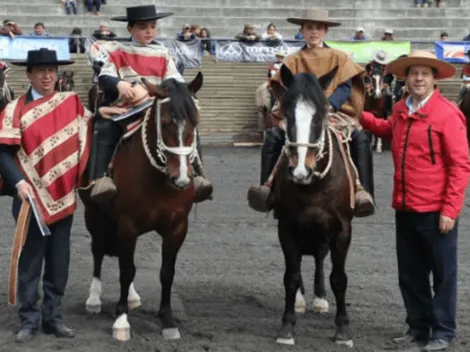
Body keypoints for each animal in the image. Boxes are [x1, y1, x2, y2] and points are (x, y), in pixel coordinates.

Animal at [80, 72, 204, 340]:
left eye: (195, 122)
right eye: (166, 123)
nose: (181, 178)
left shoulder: (177, 227)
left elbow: (166, 272)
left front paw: (167, 321)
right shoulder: (127, 224)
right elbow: (126, 270)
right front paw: (121, 320)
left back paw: (132, 296)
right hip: (93, 213)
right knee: (98, 249)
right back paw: (94, 298)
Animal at [270, 64, 354, 348]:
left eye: (320, 115)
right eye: (287, 114)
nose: (300, 171)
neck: (314, 186)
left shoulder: (342, 230)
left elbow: (338, 278)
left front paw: (342, 329)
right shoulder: (286, 228)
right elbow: (291, 276)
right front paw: (286, 326)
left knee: (319, 257)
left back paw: (319, 298)